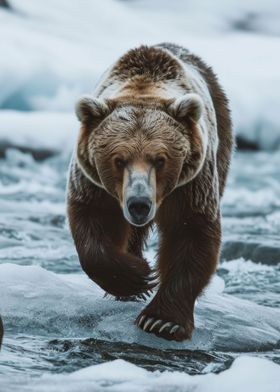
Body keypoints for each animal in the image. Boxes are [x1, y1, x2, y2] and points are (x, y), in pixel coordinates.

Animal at [66, 43, 233, 342]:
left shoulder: (192, 186)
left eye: (160, 159)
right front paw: (138, 276)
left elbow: (190, 234)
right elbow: (94, 225)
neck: (145, 88)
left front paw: (162, 321)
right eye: (119, 160)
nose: (139, 203)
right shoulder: (94, 185)